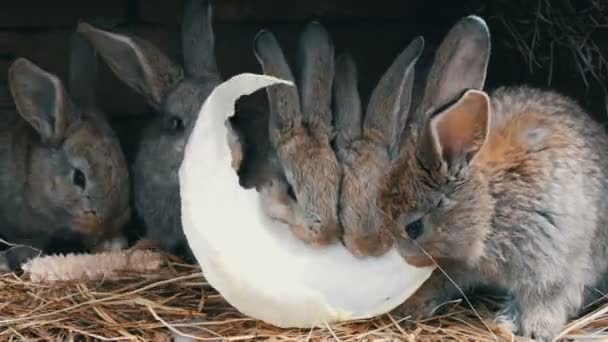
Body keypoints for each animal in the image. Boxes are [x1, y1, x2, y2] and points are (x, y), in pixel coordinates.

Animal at [372, 14, 608, 342]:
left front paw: (538, 329)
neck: (489, 207)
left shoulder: (552, 259)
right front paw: (410, 307)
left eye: (414, 227)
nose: (405, 261)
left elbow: (549, 297)